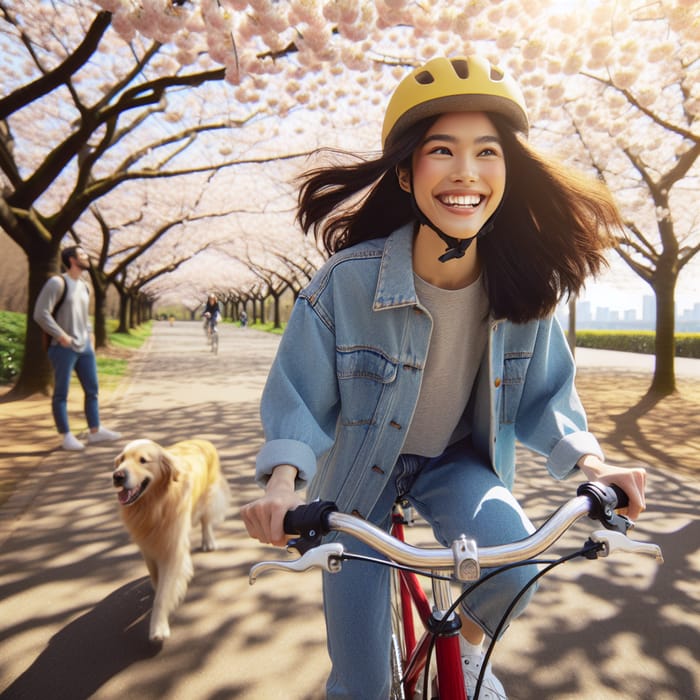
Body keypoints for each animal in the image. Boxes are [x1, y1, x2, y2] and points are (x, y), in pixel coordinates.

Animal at [113, 440, 230, 644]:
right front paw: (155, 584)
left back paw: (208, 541)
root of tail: (203, 440)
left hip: (207, 496)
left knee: (206, 520)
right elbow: (155, 575)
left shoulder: (172, 548)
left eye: (143, 460)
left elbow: (163, 594)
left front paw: (158, 627)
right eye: (121, 460)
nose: (117, 476)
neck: (154, 504)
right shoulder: (147, 545)